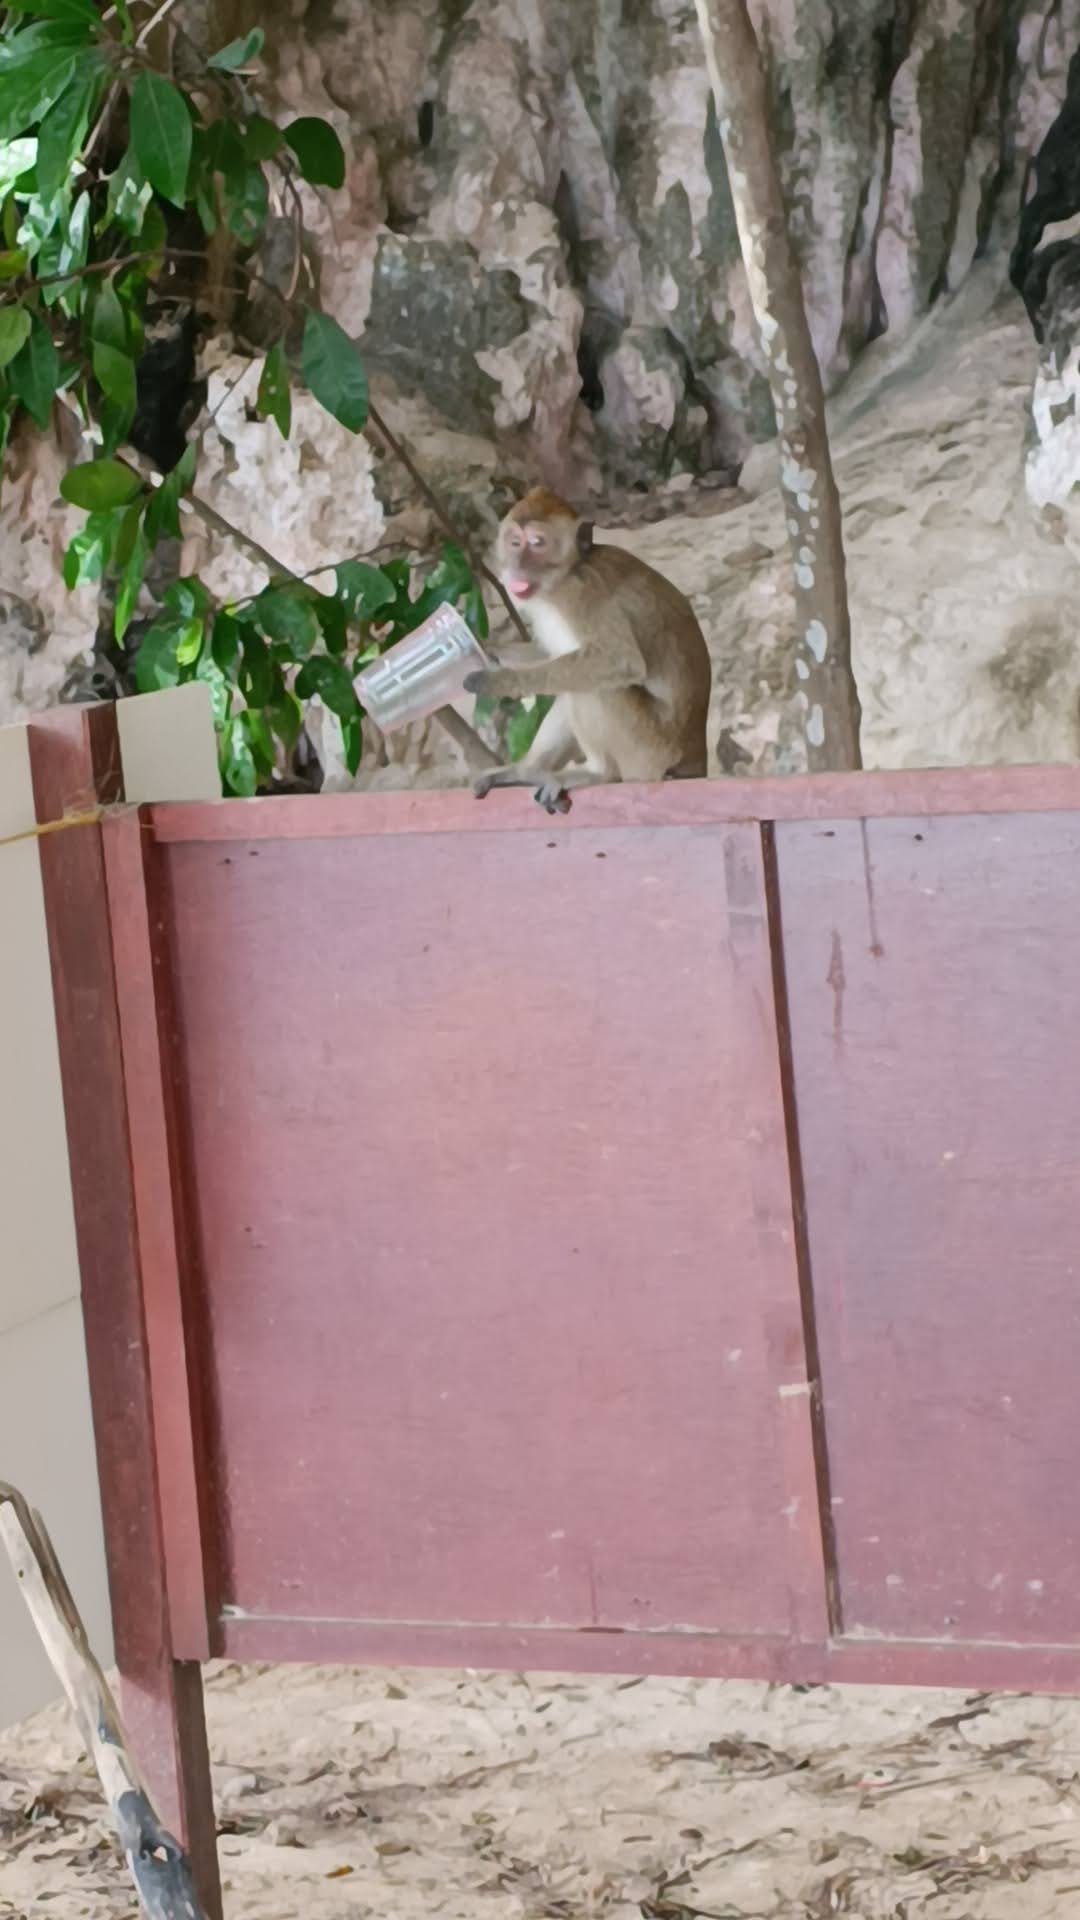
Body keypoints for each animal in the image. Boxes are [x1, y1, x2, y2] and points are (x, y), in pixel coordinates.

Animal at [463, 488, 712, 814]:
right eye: (514, 542)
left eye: (538, 542)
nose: (516, 563)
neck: (564, 576)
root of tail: (695, 759)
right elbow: (552, 655)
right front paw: (489, 652)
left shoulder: (584, 593)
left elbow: (620, 662)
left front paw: (501, 681)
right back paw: (525, 770)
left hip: (648, 751)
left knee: (599, 686)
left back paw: (599, 774)